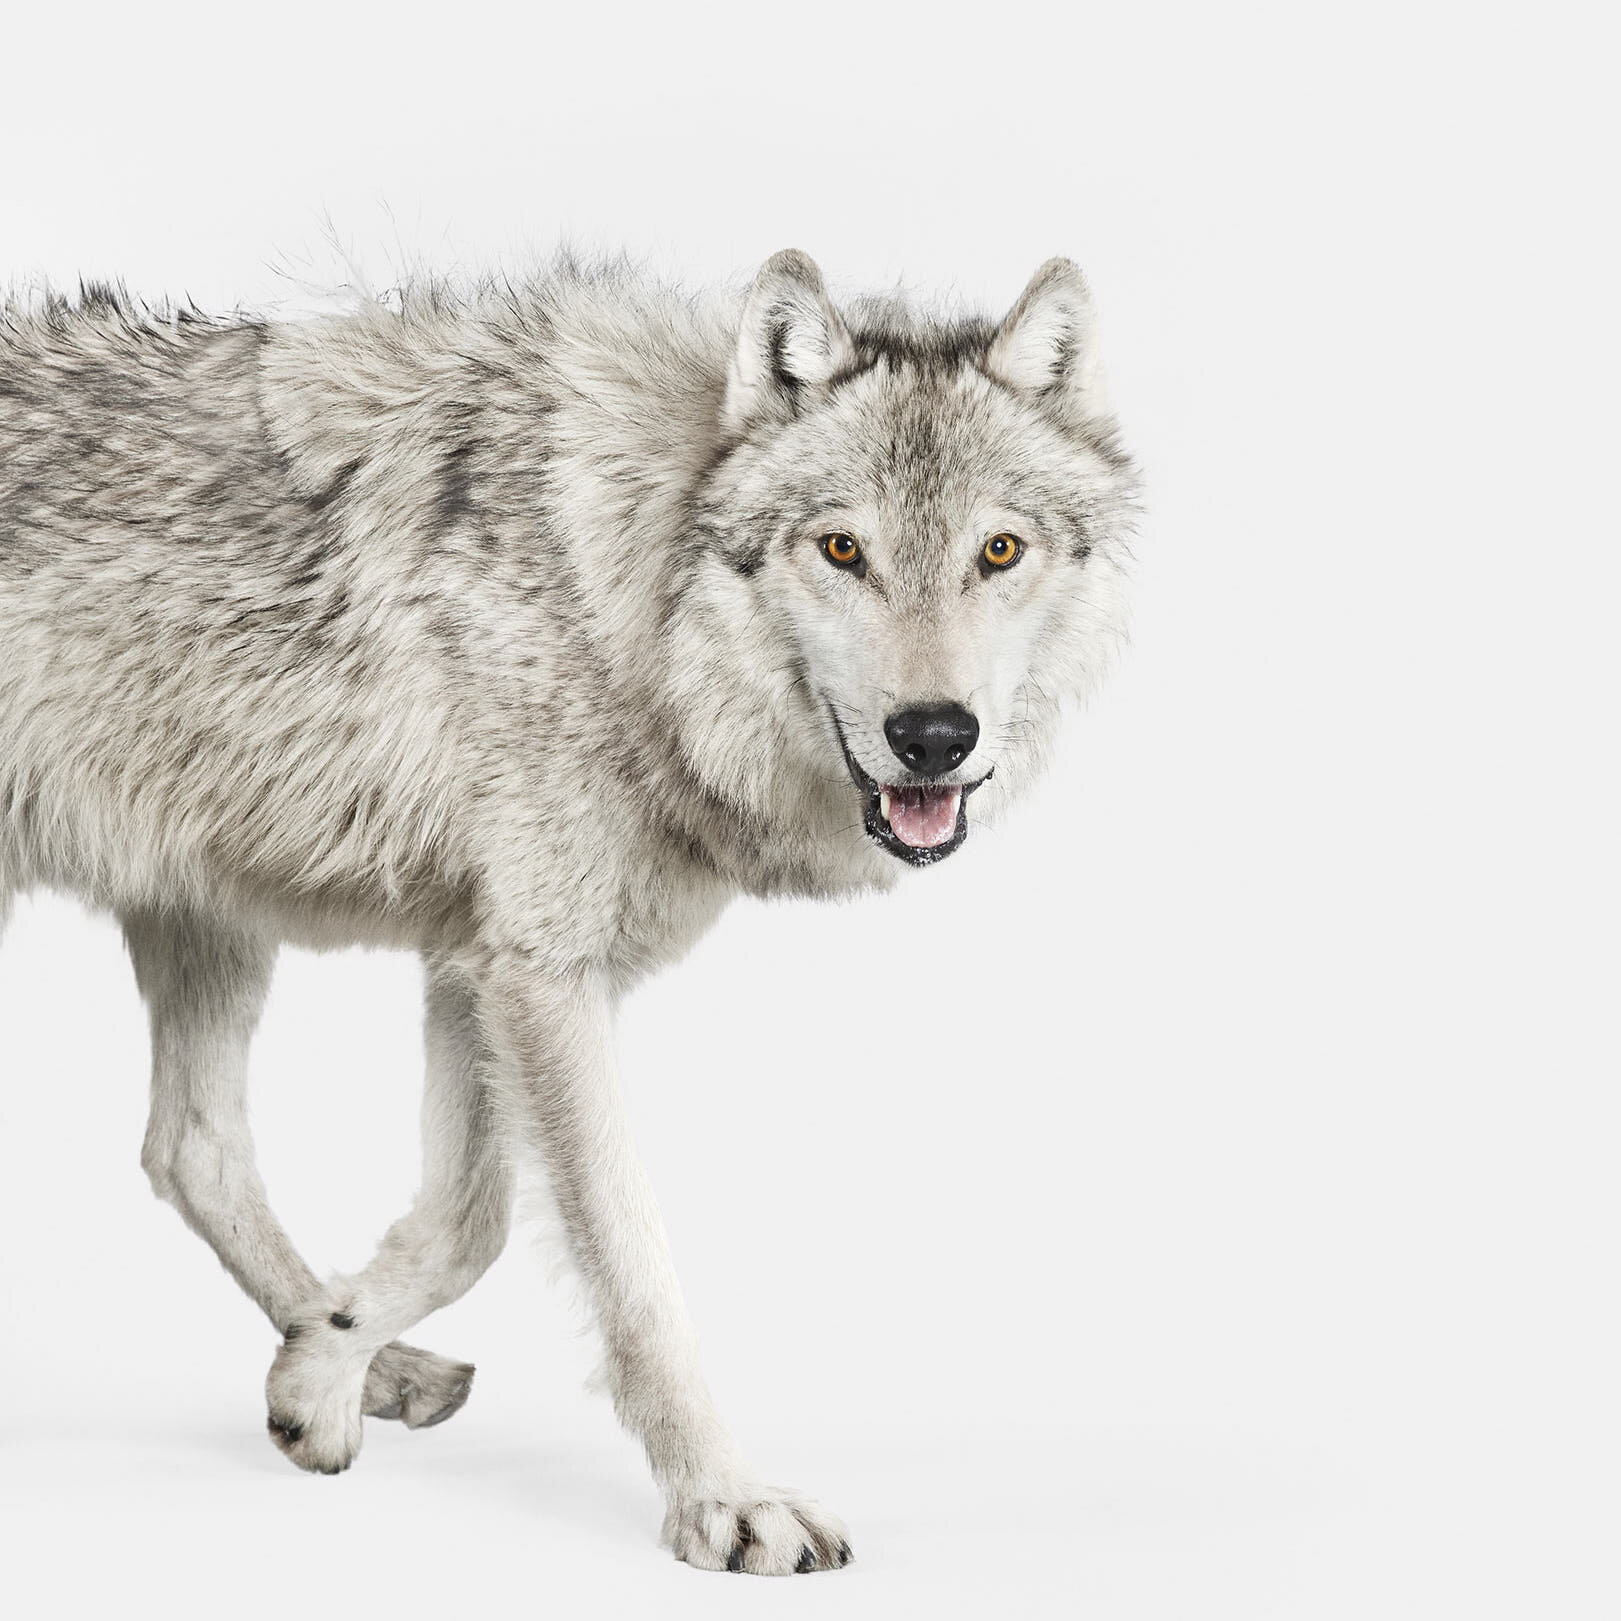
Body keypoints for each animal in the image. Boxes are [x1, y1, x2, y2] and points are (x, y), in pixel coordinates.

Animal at [0, 248, 1138, 1573]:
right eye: (841, 549)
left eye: (998, 551)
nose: (933, 736)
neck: (620, 595)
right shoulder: (537, 972)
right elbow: (622, 1269)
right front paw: (722, 1503)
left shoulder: (479, 963)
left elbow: (462, 1223)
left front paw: (319, 1373)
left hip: (212, 914)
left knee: (189, 1148)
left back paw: (378, 1368)